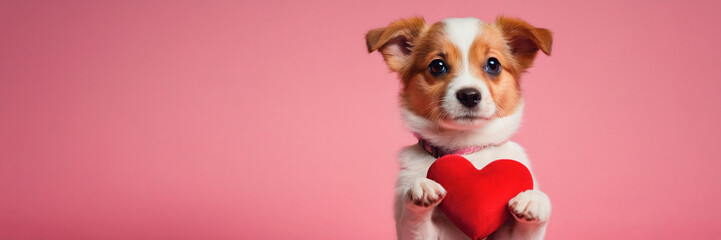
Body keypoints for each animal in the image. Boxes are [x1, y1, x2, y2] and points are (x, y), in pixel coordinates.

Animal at [366, 16, 552, 240]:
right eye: (437, 66)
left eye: (493, 64)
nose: (469, 95)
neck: (466, 148)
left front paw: (535, 200)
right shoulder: (416, 233)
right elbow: (414, 219)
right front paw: (422, 186)